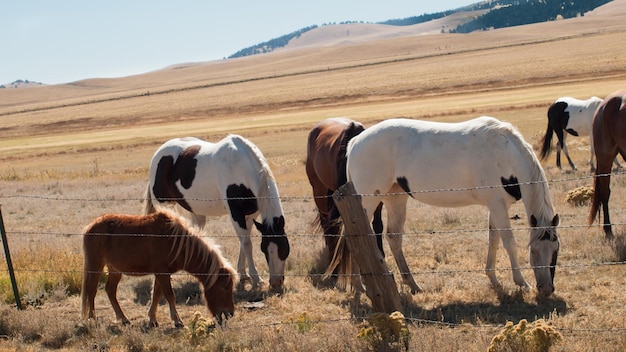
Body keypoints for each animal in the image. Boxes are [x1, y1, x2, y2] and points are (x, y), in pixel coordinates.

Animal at [81, 209, 238, 328]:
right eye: (224, 289)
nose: (230, 313)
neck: (175, 242)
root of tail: (90, 227)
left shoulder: (161, 273)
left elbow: (156, 294)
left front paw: (152, 320)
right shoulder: (162, 273)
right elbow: (169, 295)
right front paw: (177, 321)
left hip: (114, 269)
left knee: (110, 290)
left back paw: (124, 319)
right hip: (96, 265)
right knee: (91, 290)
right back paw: (92, 318)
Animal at [144, 135, 290, 288]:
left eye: (284, 248)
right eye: (264, 249)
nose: (276, 282)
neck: (240, 167)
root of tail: (158, 154)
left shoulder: (250, 216)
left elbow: (243, 242)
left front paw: (243, 274)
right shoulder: (236, 214)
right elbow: (247, 245)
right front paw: (256, 279)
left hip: (195, 210)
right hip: (164, 206)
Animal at [336, 116, 560, 296]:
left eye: (555, 250)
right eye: (533, 252)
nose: (546, 289)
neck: (503, 152)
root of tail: (355, 142)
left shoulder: (496, 206)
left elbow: (493, 240)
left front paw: (494, 280)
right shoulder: (497, 206)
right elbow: (509, 243)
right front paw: (521, 283)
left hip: (395, 199)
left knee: (393, 237)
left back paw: (412, 284)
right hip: (366, 202)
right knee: (355, 237)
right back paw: (360, 286)